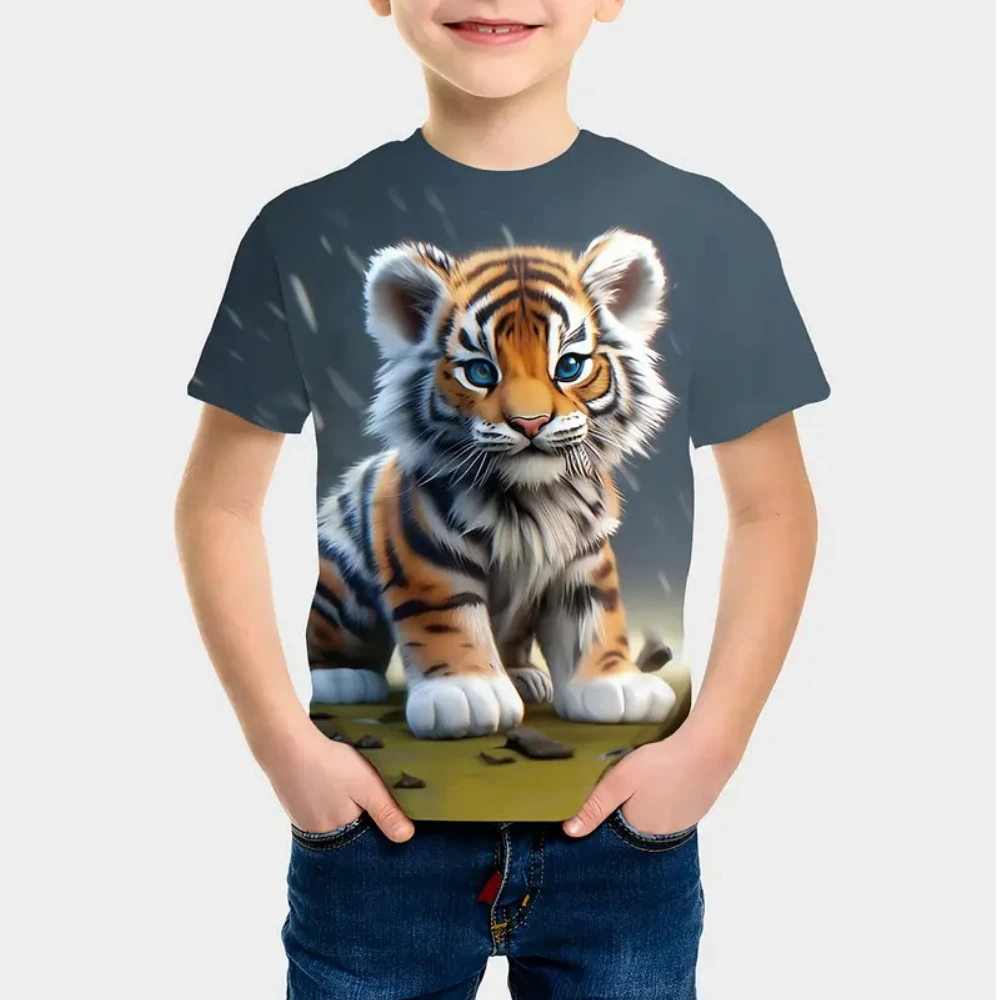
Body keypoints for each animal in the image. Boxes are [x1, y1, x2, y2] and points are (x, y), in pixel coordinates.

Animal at [307, 229, 678, 739]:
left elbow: (595, 616)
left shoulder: (584, 558)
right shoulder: (428, 553)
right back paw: (339, 679)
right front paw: (465, 694)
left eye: (569, 366)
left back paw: (524, 677)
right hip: (339, 583)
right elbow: (448, 619)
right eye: (481, 372)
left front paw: (616, 685)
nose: (531, 423)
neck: (535, 497)